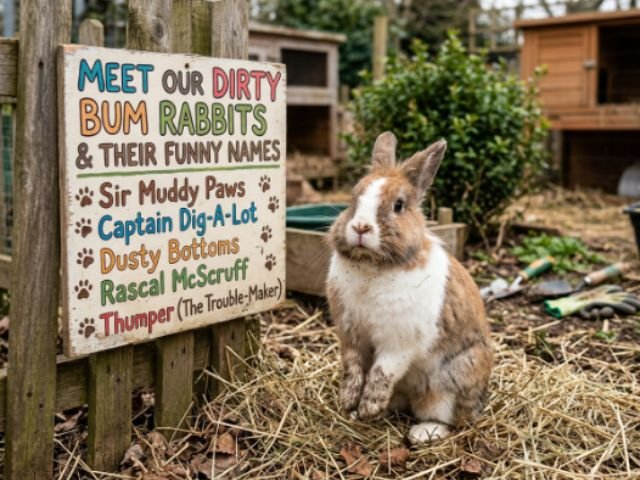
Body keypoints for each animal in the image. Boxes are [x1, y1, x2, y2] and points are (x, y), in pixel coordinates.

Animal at [326, 132, 493, 444]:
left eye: (399, 205)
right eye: (354, 198)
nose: (361, 227)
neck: (373, 266)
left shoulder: (398, 343)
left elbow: (382, 372)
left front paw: (368, 406)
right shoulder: (350, 334)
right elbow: (352, 367)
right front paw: (349, 401)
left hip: (448, 386)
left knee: (452, 420)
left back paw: (423, 432)